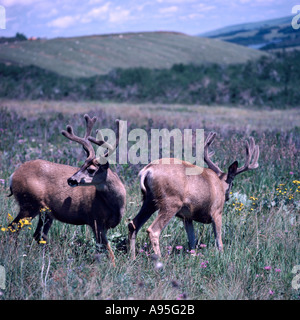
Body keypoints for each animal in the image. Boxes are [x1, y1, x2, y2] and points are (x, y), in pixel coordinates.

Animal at [7, 115, 125, 264]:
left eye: (91, 170)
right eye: (82, 165)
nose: (71, 180)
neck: (115, 205)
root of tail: (13, 176)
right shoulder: (95, 219)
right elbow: (109, 251)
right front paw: (112, 266)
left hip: (45, 212)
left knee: (39, 234)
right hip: (29, 203)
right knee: (13, 228)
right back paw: (14, 254)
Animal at [127, 131, 258, 258]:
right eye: (233, 184)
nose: (228, 197)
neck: (220, 184)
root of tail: (147, 170)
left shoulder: (187, 217)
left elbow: (192, 240)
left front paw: (194, 256)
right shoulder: (217, 211)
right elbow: (219, 240)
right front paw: (221, 256)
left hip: (149, 201)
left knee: (133, 224)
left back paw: (132, 257)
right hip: (171, 202)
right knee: (153, 230)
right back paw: (159, 259)